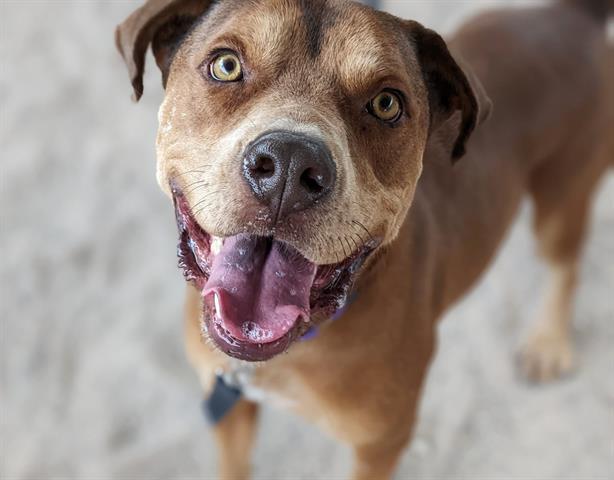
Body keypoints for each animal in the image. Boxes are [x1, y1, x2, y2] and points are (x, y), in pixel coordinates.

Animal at [114, 1, 612, 478]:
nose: (289, 165)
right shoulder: (228, 407)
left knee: (565, 264)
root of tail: (574, 15)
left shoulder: (381, 446)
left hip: (562, 198)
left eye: (387, 103)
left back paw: (549, 344)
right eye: (226, 66)